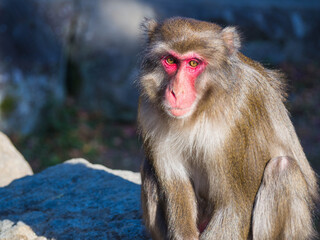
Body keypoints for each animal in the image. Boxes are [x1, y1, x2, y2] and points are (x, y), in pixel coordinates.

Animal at [136, 17, 318, 240]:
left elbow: (234, 206)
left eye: (193, 63)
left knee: (283, 168)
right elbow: (176, 189)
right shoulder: (148, 113)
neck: (201, 110)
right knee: (149, 167)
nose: (176, 92)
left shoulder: (239, 116)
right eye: (170, 60)